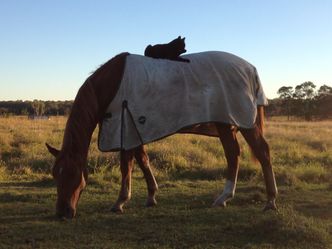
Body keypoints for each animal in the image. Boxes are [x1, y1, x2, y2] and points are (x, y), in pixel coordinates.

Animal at [44, 51, 278, 218]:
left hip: (241, 123)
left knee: (261, 152)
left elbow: (126, 165)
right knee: (234, 154)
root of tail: (250, 69)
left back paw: (269, 201)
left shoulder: (125, 127)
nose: (62, 213)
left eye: (73, 173)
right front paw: (151, 196)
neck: (110, 86)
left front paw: (120, 202)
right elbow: (143, 160)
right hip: (225, 124)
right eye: (55, 174)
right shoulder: (134, 130)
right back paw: (225, 198)